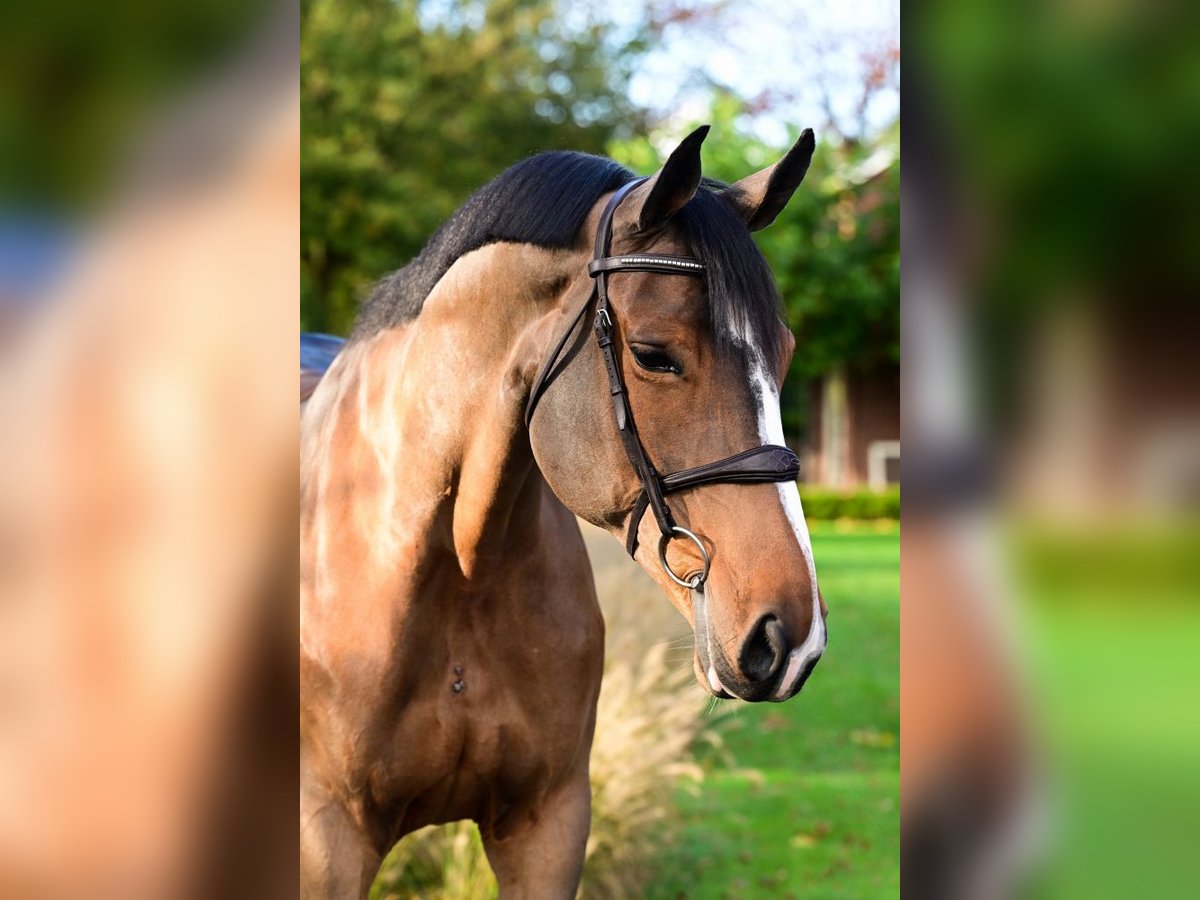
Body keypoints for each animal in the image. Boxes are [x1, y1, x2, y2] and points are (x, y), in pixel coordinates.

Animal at [300, 128, 825, 900]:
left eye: (783, 357)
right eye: (654, 355)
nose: (789, 637)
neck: (457, 571)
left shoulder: (549, 824)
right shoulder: (327, 837)